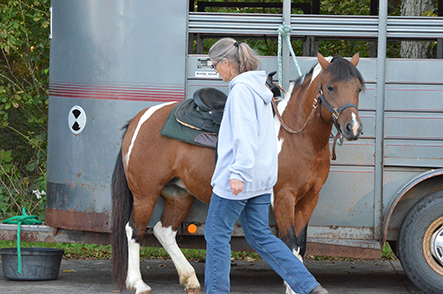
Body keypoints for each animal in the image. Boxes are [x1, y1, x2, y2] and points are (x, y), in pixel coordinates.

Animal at [110, 53, 364, 294]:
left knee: (164, 231)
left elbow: (300, 245)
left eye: (358, 88)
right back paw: (138, 283)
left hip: (179, 195)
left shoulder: (309, 200)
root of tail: (140, 118)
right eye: (330, 87)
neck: (296, 137)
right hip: (146, 194)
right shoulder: (284, 197)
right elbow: (290, 243)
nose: (353, 128)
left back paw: (190, 279)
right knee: (134, 230)